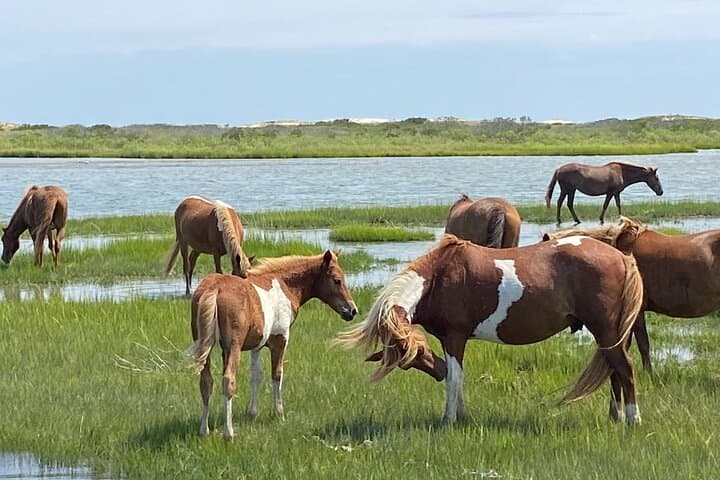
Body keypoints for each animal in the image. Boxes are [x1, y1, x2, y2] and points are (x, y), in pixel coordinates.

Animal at [188, 250, 358, 438]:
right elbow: (277, 374)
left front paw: (252, 414)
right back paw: (229, 432)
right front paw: (279, 413)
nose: (352, 310)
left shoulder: (256, 346)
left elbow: (256, 375)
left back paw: (204, 430)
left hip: (205, 346)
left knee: (206, 382)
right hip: (233, 347)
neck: (285, 286)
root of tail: (214, 289)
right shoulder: (279, 339)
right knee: (228, 381)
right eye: (337, 280)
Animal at [338, 234, 645, 425]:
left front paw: (449, 420)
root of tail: (620, 256)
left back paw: (633, 420)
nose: (435, 371)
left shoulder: (455, 337)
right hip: (607, 335)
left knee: (625, 369)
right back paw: (616, 417)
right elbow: (457, 377)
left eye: (421, 350)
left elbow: (455, 378)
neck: (439, 277)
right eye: (409, 360)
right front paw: (461, 416)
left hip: (605, 330)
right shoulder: (451, 340)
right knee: (614, 371)